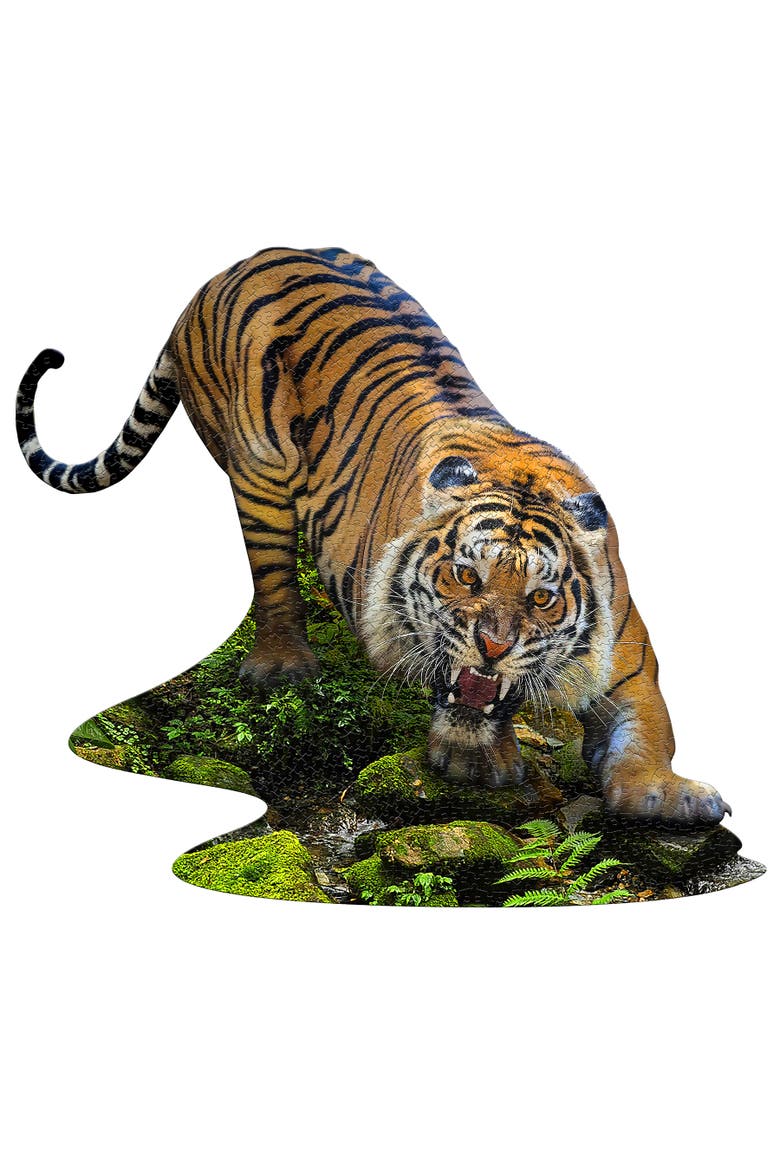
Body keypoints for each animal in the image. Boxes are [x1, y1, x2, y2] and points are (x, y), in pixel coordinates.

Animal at [16, 245, 731, 826]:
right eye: (465, 575)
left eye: (542, 598)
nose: (493, 648)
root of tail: (223, 273)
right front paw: (477, 761)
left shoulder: (626, 657)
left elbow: (652, 725)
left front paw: (664, 792)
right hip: (259, 473)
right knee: (272, 580)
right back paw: (283, 665)